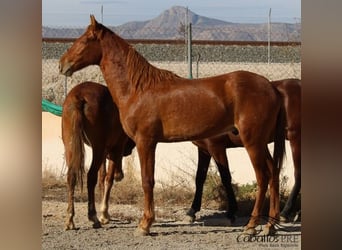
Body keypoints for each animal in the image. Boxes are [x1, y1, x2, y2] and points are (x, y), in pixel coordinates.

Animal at [62, 81, 134, 229]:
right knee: (91, 177)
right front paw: (104, 214)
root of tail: (79, 96)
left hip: (70, 145)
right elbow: (108, 179)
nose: (120, 174)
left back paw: (70, 218)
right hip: (98, 148)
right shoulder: (115, 149)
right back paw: (93, 216)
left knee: (71, 176)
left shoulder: (104, 152)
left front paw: (104, 212)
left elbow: (102, 178)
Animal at [186, 78, 300, 223]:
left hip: (295, 138)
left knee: (298, 174)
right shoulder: (204, 149)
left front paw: (231, 212)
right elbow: (200, 177)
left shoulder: (216, 147)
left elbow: (226, 177)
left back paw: (286, 212)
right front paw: (192, 210)